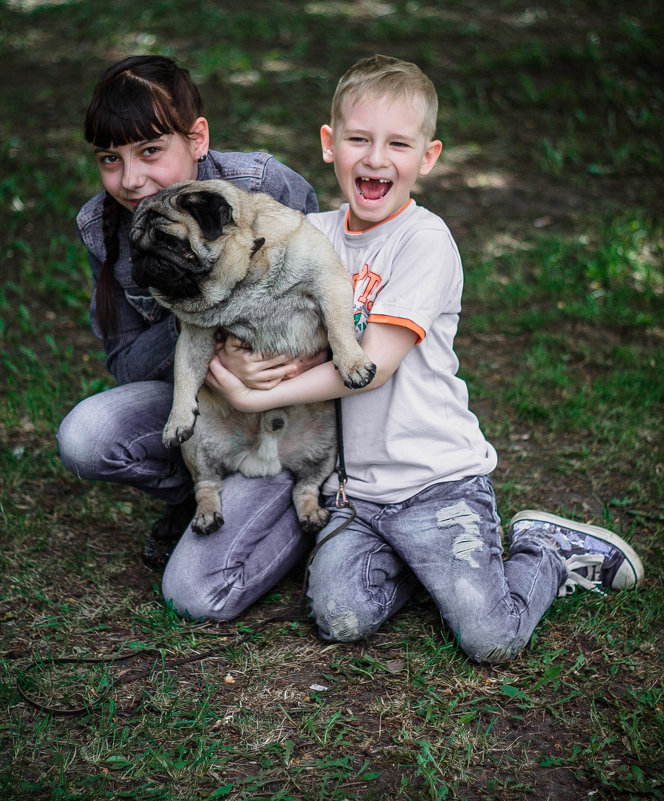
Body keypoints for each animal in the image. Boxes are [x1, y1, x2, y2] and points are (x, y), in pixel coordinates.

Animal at [130, 178, 376, 536]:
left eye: (170, 241)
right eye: (132, 245)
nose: (140, 257)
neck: (244, 277)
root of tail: (263, 462)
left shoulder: (327, 282)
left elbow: (339, 327)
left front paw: (352, 365)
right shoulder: (194, 333)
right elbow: (184, 373)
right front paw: (177, 418)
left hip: (327, 448)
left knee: (305, 486)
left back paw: (311, 514)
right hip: (198, 446)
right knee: (207, 484)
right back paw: (206, 515)